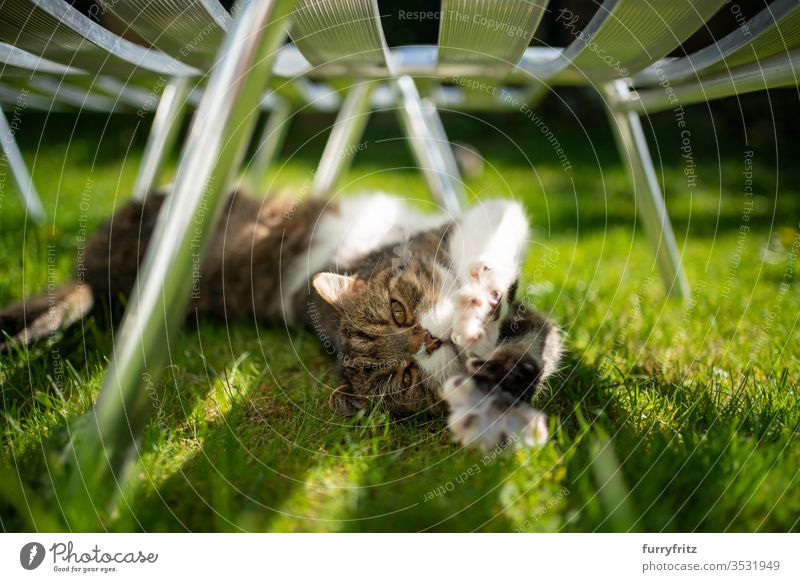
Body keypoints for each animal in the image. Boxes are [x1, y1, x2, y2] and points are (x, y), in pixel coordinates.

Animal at [0, 192, 564, 452]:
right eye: (405, 376)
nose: (429, 339)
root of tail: (99, 281)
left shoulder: (481, 227)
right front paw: (481, 404)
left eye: (399, 310)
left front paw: (476, 310)